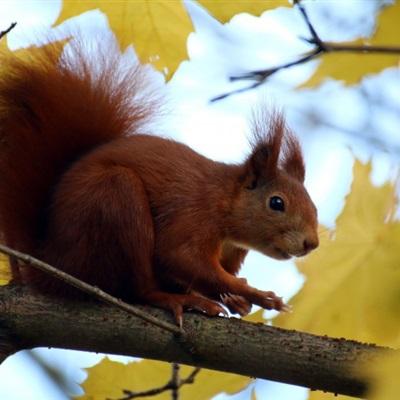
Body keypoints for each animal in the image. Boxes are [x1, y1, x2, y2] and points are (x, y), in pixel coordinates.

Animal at [0, 38, 318, 324]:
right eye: (276, 203)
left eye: (314, 207)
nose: (311, 243)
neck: (224, 200)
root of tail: (52, 263)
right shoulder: (193, 214)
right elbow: (178, 257)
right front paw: (257, 295)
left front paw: (236, 299)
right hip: (114, 198)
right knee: (140, 289)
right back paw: (175, 299)